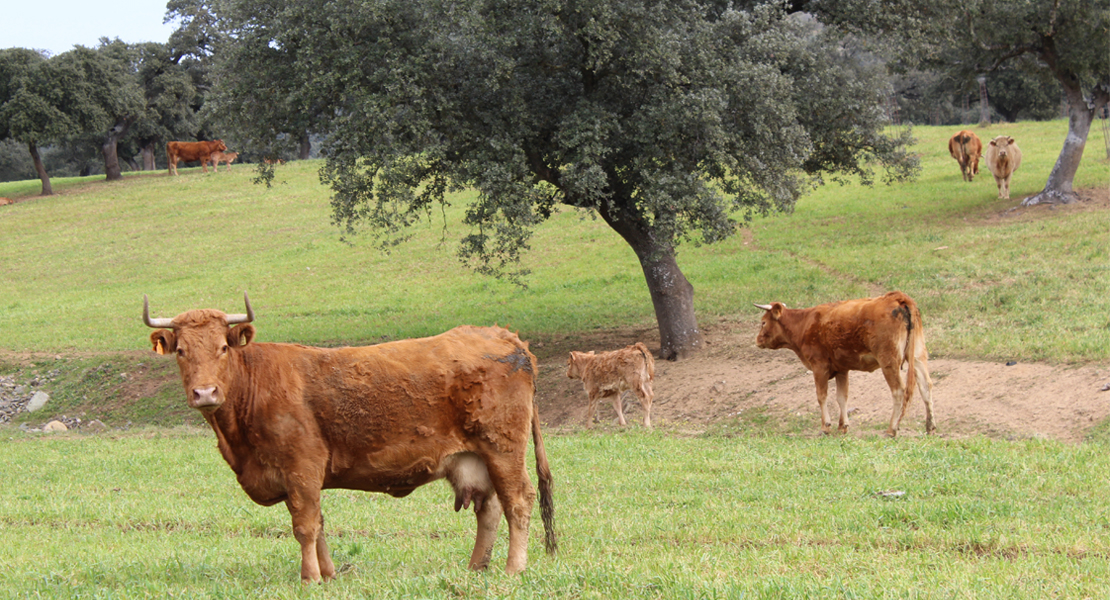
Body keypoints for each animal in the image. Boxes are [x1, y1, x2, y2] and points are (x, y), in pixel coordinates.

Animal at [142, 292, 555, 581]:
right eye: (181, 351)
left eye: (223, 347)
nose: (205, 393)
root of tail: (503, 335)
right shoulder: (299, 478)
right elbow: (319, 524)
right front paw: (327, 575)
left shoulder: (302, 467)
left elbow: (305, 525)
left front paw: (309, 577)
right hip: (476, 459)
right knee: (490, 509)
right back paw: (475, 567)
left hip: (503, 449)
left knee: (519, 501)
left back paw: (513, 568)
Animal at [754, 290, 936, 436]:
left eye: (763, 322)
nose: (757, 340)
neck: (804, 323)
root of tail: (898, 297)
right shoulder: (842, 369)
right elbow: (842, 397)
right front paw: (843, 426)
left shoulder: (819, 366)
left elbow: (822, 396)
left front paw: (825, 426)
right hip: (918, 355)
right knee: (925, 386)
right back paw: (930, 427)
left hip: (889, 361)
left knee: (899, 391)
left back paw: (892, 429)